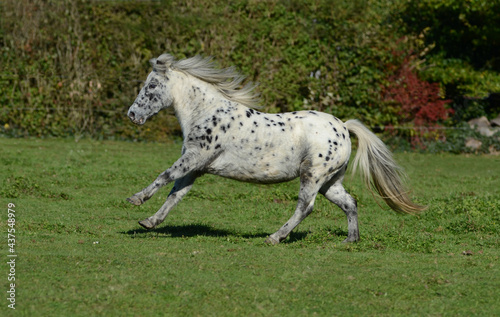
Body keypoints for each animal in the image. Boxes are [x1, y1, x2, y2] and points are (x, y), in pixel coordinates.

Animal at [126, 53, 426, 243]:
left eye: (151, 85)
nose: (131, 114)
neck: (208, 112)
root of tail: (342, 126)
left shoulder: (193, 159)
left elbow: (165, 176)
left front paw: (136, 199)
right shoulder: (196, 168)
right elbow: (175, 194)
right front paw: (149, 222)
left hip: (312, 175)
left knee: (305, 207)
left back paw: (274, 237)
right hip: (330, 181)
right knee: (349, 203)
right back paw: (351, 240)